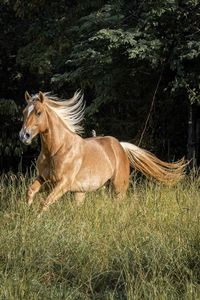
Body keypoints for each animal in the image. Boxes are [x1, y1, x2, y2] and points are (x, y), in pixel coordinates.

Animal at [19, 91, 185, 213]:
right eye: (24, 112)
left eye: (39, 112)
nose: (24, 135)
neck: (57, 149)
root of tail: (120, 146)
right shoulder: (44, 178)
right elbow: (30, 192)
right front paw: (27, 213)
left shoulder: (63, 183)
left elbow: (45, 202)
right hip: (87, 190)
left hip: (119, 188)